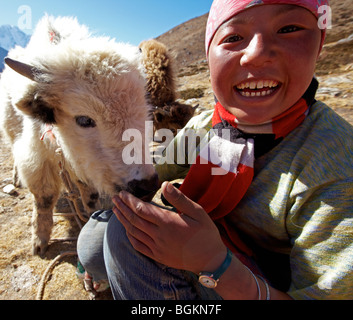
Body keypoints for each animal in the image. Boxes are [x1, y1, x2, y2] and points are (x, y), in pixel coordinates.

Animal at [0, 17, 157, 256]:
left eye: (144, 105)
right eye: (84, 120)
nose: (146, 185)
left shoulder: (84, 165)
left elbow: (89, 193)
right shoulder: (38, 157)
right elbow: (44, 197)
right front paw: (39, 241)